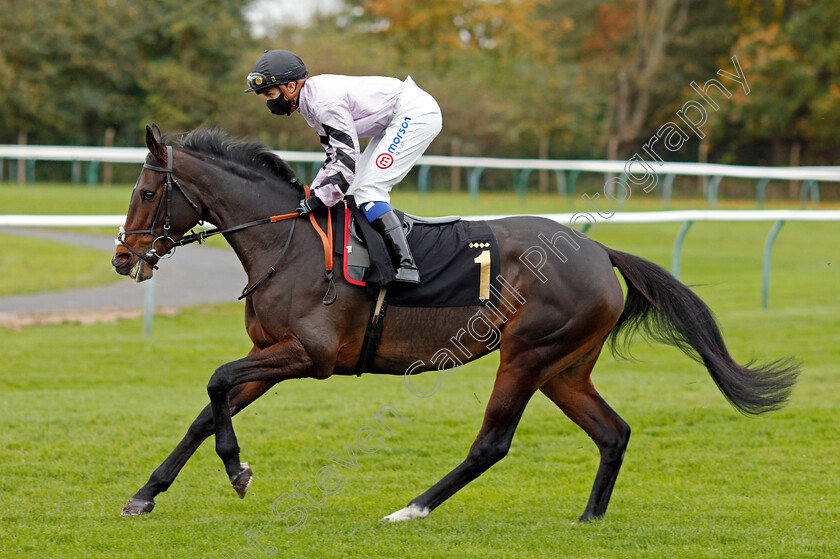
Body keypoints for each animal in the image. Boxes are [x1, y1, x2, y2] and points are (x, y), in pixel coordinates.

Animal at [113, 124, 800, 524]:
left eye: (145, 192)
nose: (123, 257)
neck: (288, 244)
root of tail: (599, 251)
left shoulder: (310, 355)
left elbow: (215, 382)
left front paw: (238, 471)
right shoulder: (276, 354)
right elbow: (210, 408)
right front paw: (146, 493)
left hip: (526, 353)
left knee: (492, 442)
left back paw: (411, 509)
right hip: (564, 367)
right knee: (613, 433)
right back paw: (589, 519)